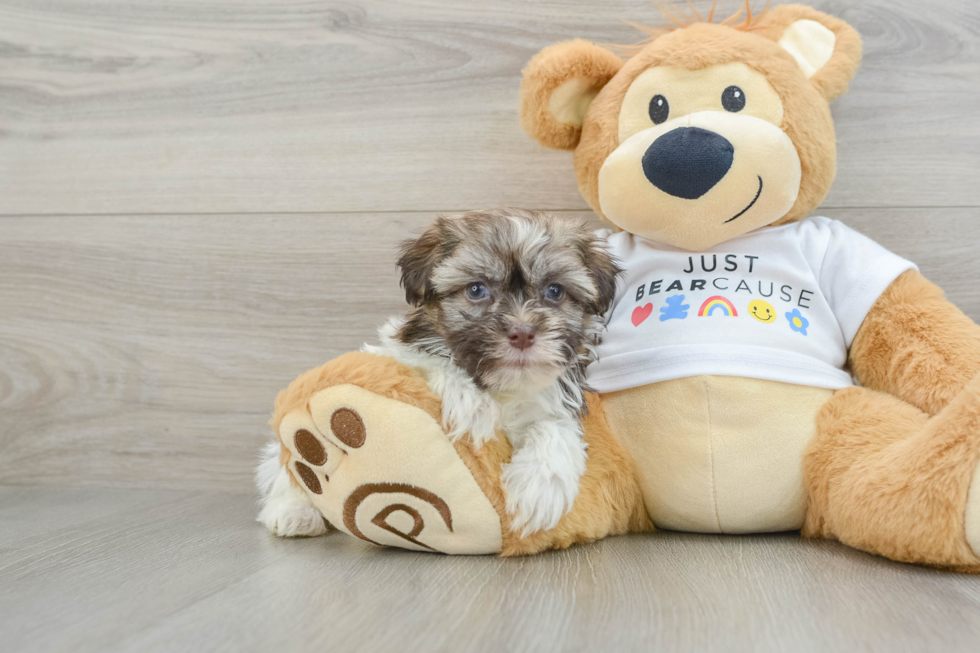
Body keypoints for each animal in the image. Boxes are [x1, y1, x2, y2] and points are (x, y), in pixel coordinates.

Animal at [255, 208, 620, 536]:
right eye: (476, 290)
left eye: (555, 291)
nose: (522, 333)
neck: (500, 386)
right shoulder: (392, 352)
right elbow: (430, 360)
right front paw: (472, 406)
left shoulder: (555, 399)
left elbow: (554, 427)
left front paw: (539, 488)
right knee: (287, 471)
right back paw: (294, 511)